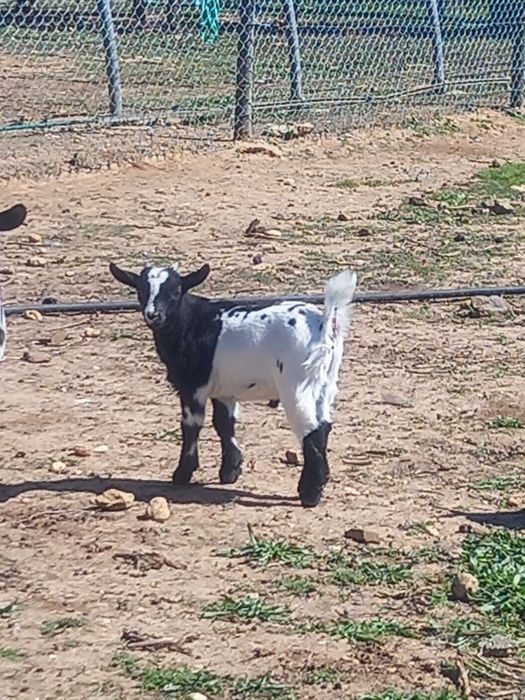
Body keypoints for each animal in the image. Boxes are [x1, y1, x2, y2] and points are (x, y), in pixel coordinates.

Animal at [109, 261, 357, 507]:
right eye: (140, 290)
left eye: (176, 291)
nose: (154, 315)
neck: (190, 322)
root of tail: (324, 323)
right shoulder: (224, 390)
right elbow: (224, 423)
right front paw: (230, 471)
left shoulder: (193, 386)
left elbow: (191, 425)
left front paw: (182, 474)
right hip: (325, 383)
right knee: (324, 426)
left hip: (297, 384)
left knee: (310, 431)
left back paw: (310, 494)